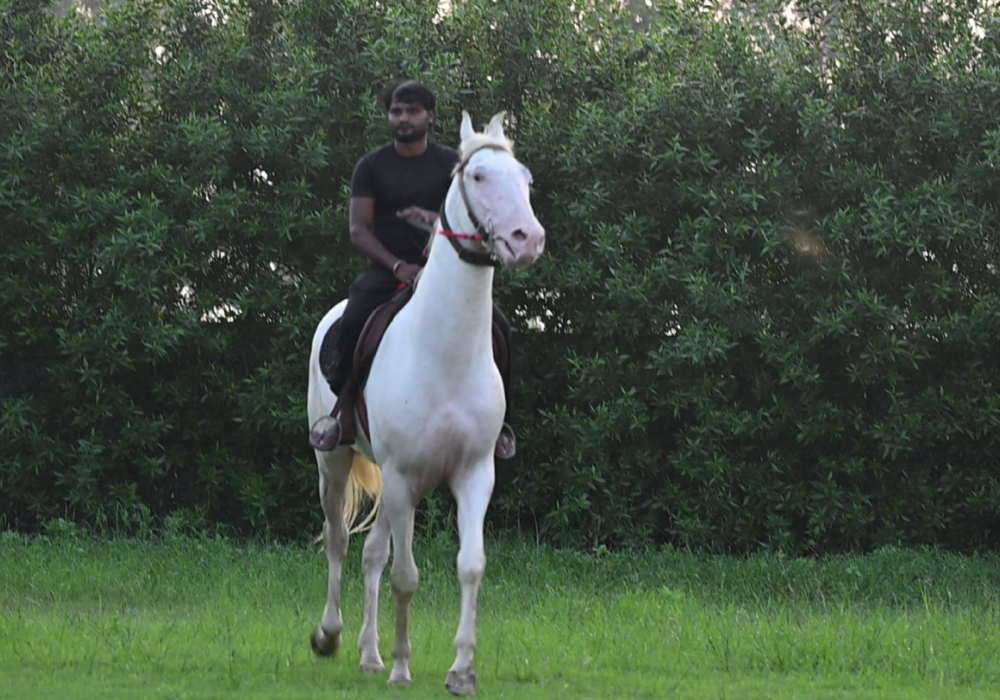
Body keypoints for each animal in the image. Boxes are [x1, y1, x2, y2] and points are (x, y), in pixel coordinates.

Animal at [305, 111, 545, 696]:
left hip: (394, 488)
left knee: (371, 555)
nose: (528, 239)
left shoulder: (473, 475)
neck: (445, 354)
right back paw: (331, 637)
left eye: (525, 179)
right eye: (478, 176)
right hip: (336, 462)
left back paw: (368, 655)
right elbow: (406, 576)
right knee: (340, 542)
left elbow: (470, 565)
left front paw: (461, 670)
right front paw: (401, 665)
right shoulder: (404, 477)